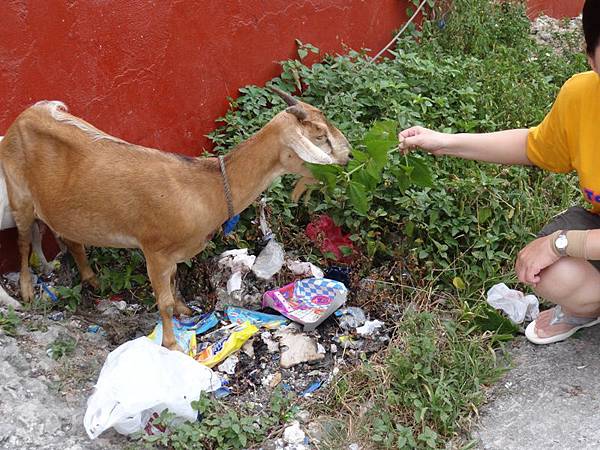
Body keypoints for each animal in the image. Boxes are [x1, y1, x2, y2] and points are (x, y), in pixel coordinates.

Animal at [0, 89, 350, 352]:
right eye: (319, 134)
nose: (348, 155)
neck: (204, 188)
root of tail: (28, 113)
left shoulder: (172, 254)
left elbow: (173, 283)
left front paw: (185, 311)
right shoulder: (154, 250)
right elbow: (163, 300)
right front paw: (171, 344)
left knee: (65, 237)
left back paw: (88, 278)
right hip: (19, 195)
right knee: (22, 239)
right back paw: (27, 290)